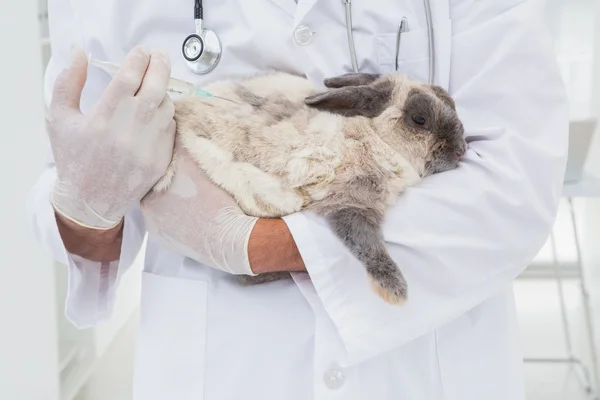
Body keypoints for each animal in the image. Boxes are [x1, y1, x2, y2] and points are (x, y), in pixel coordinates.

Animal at [148, 70, 466, 304]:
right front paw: (395, 289)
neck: (376, 138)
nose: (462, 150)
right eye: (419, 119)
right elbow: (368, 245)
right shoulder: (351, 204)